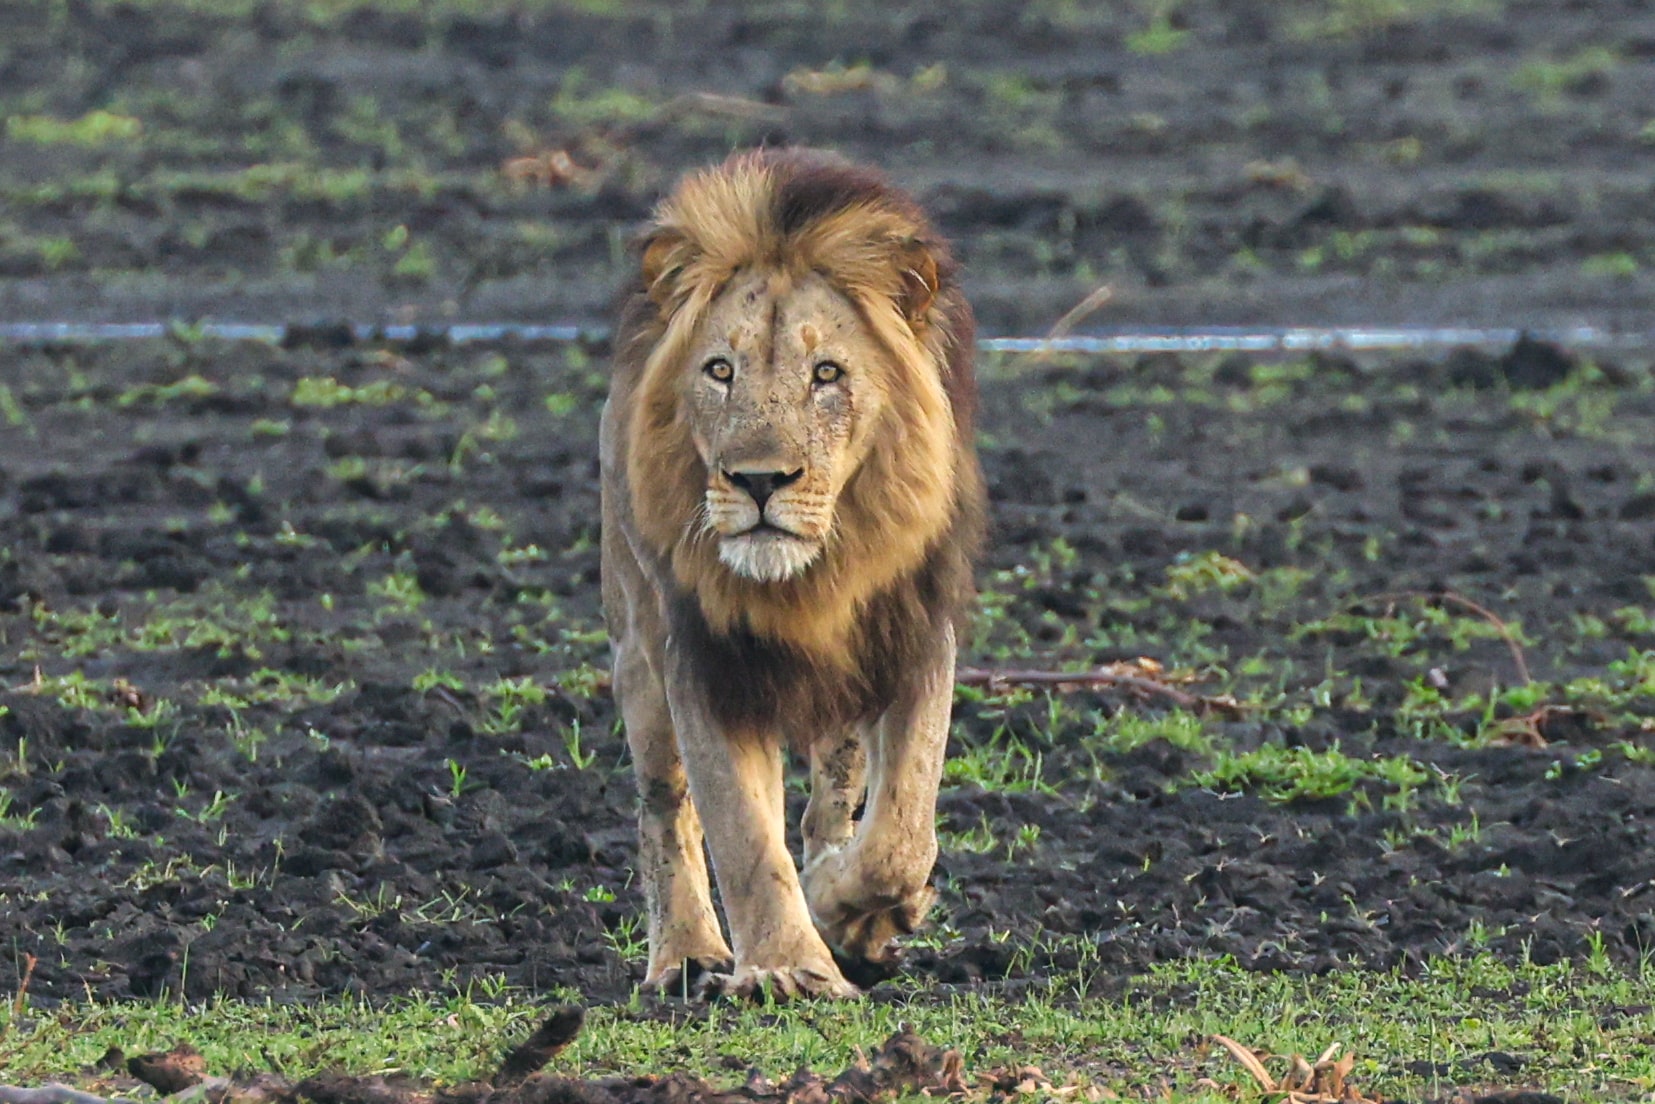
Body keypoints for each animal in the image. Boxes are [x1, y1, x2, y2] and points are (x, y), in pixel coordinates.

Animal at [599, 148, 985, 999]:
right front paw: (787, 968)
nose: (758, 480)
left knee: (836, 793)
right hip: (635, 639)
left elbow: (902, 830)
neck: (811, 577)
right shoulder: (703, 657)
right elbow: (741, 833)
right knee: (663, 807)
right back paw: (686, 956)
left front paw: (849, 913)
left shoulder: (913, 633)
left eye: (827, 374)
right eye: (719, 370)